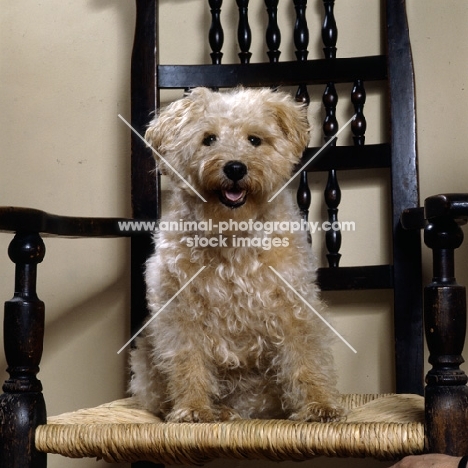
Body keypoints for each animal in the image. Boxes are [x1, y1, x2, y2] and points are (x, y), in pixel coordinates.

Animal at [128, 88, 344, 424]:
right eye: (208, 139)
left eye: (254, 139)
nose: (234, 168)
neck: (232, 234)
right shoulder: (180, 312)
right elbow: (187, 362)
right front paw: (193, 407)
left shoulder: (294, 306)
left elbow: (306, 357)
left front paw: (318, 404)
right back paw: (216, 409)